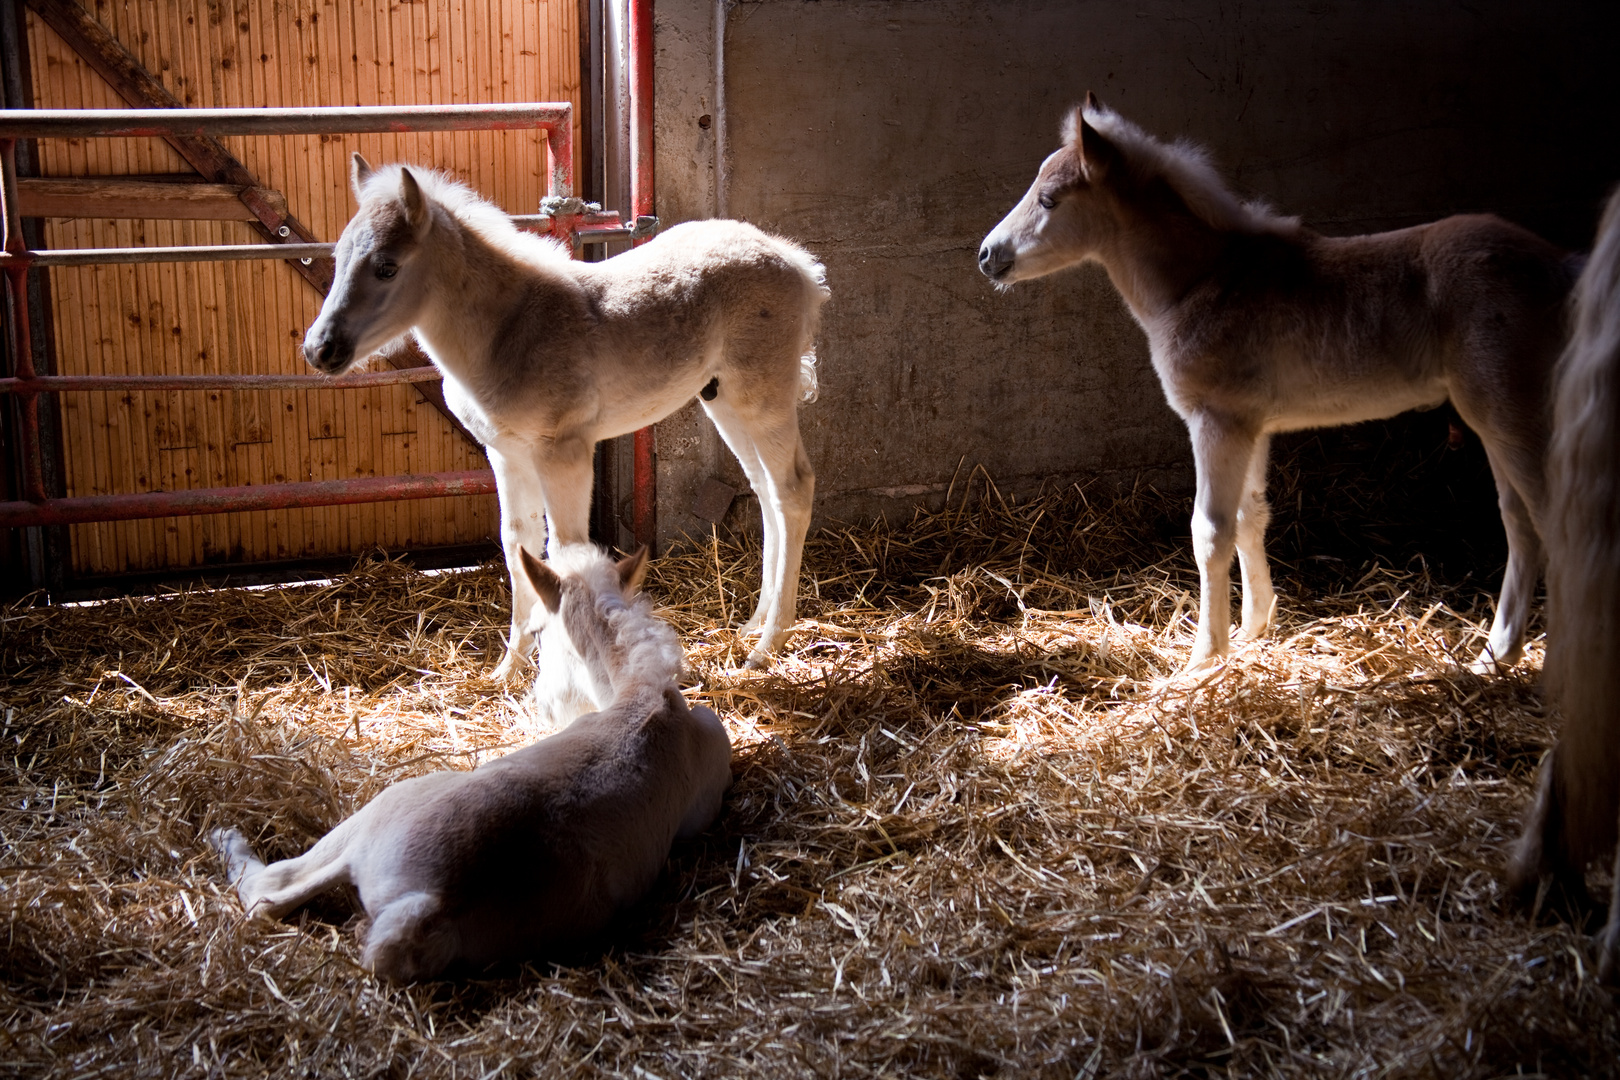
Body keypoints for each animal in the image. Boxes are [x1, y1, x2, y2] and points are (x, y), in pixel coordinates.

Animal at [208, 544, 729, 984]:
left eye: (538, 633)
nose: (541, 706)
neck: (641, 692)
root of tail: (432, 901)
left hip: (380, 811)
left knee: (270, 890)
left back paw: (225, 836)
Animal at [304, 152, 829, 676]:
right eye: (337, 259)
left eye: (386, 267)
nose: (319, 349)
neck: (507, 332)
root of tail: (797, 263)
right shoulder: (507, 454)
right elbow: (518, 544)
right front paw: (509, 669)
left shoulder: (564, 453)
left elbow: (565, 551)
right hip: (722, 399)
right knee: (764, 490)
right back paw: (753, 624)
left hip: (762, 396)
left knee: (792, 488)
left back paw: (769, 644)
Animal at [978, 97, 1574, 680]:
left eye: (1050, 199)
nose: (987, 255)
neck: (1204, 284)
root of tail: (1562, 267)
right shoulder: (1252, 426)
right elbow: (1250, 517)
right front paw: (1252, 630)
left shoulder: (1216, 422)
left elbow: (1210, 531)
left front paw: (1203, 659)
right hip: (1493, 418)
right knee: (1520, 522)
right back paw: (1495, 656)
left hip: (1509, 410)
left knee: (1552, 520)